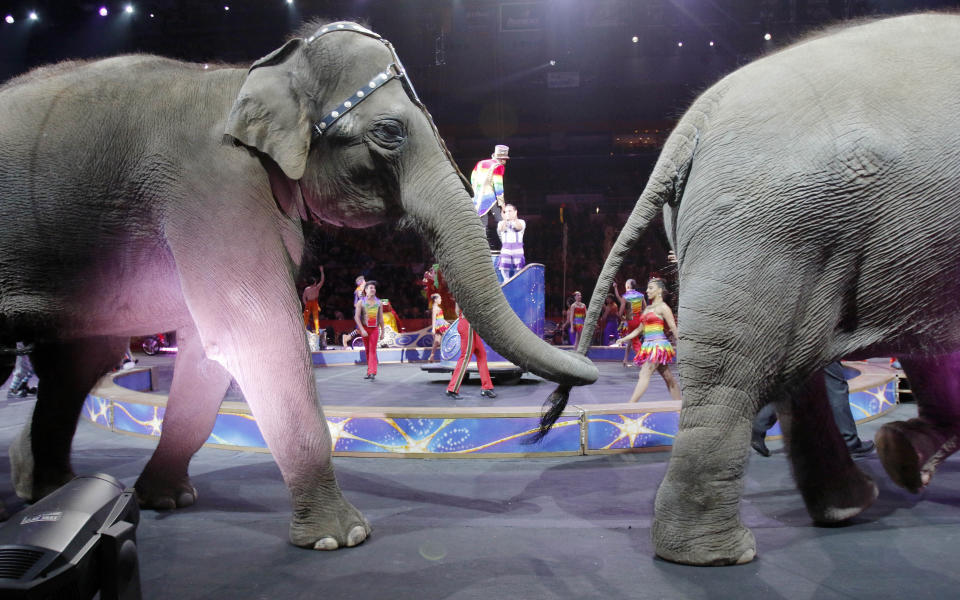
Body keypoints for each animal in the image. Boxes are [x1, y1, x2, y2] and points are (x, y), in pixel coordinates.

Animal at [0, 21, 592, 552]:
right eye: (389, 132)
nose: (551, 414)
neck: (259, 72)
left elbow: (211, 350)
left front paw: (167, 500)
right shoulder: (213, 189)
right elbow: (253, 332)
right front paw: (341, 537)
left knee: (79, 360)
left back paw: (45, 487)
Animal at [544, 15, 960, 568]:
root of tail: (694, 122)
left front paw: (908, 456)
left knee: (781, 370)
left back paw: (854, 497)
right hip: (775, 227)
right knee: (738, 375)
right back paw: (721, 554)